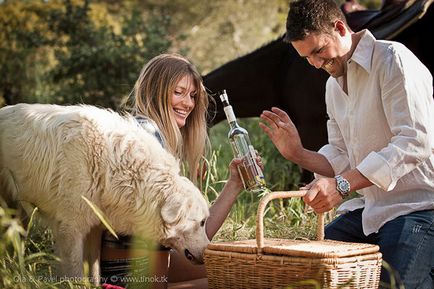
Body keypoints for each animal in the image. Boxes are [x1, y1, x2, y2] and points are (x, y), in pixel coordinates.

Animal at [0, 103, 210, 282]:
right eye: (201, 222)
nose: (207, 253)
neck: (112, 165)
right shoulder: (70, 230)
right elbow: (76, 273)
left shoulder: (93, 228)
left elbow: (94, 270)